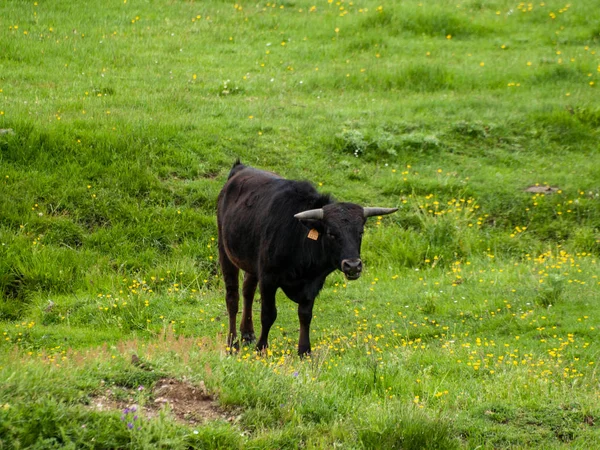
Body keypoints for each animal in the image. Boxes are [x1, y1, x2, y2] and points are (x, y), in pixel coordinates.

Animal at [217, 162, 398, 356]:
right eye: (331, 233)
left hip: (250, 263)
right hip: (225, 252)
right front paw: (261, 348)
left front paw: (304, 350)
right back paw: (232, 343)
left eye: (360, 232)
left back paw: (247, 334)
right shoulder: (268, 279)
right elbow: (268, 314)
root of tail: (240, 168)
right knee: (233, 298)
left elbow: (305, 315)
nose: (353, 266)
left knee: (247, 292)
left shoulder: (313, 283)